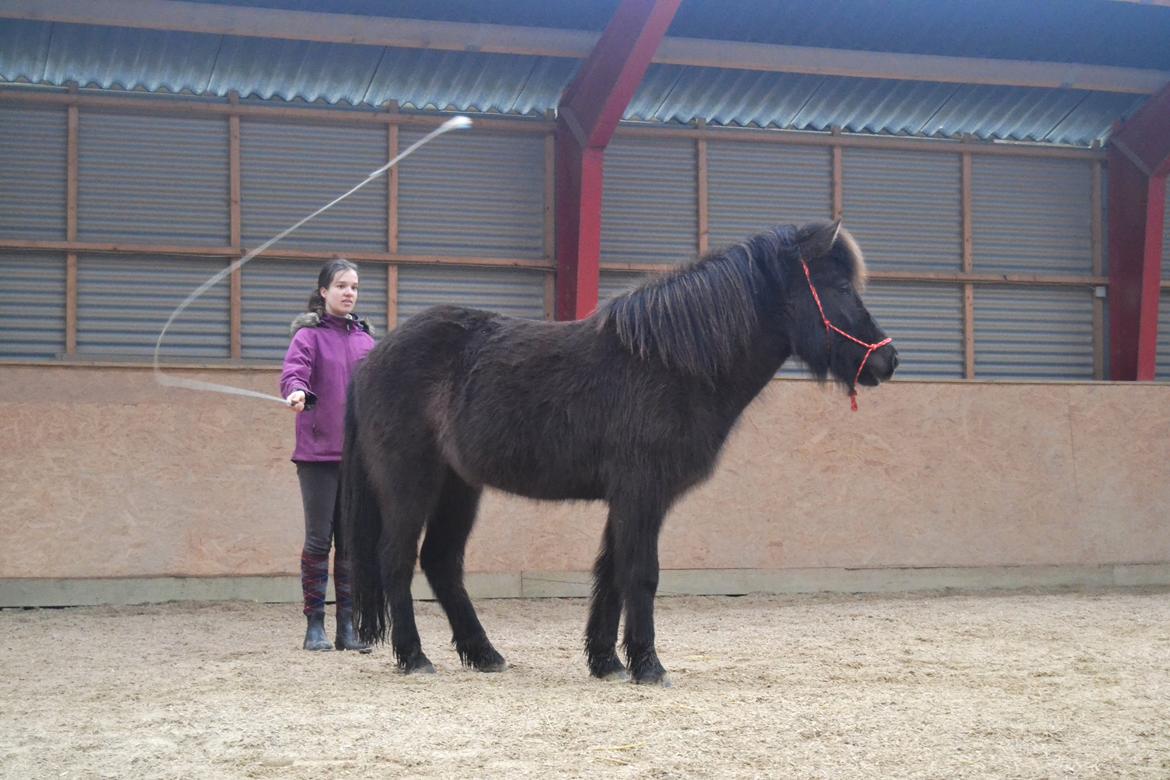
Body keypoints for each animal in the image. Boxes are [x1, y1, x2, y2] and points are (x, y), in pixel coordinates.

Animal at [339, 219, 893, 682]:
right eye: (841, 288)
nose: (887, 360)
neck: (670, 363)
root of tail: (370, 361)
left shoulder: (629, 498)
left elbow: (610, 573)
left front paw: (606, 662)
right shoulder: (642, 492)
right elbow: (640, 574)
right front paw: (648, 665)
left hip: (459, 488)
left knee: (441, 562)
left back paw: (485, 654)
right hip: (411, 482)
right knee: (396, 560)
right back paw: (414, 657)